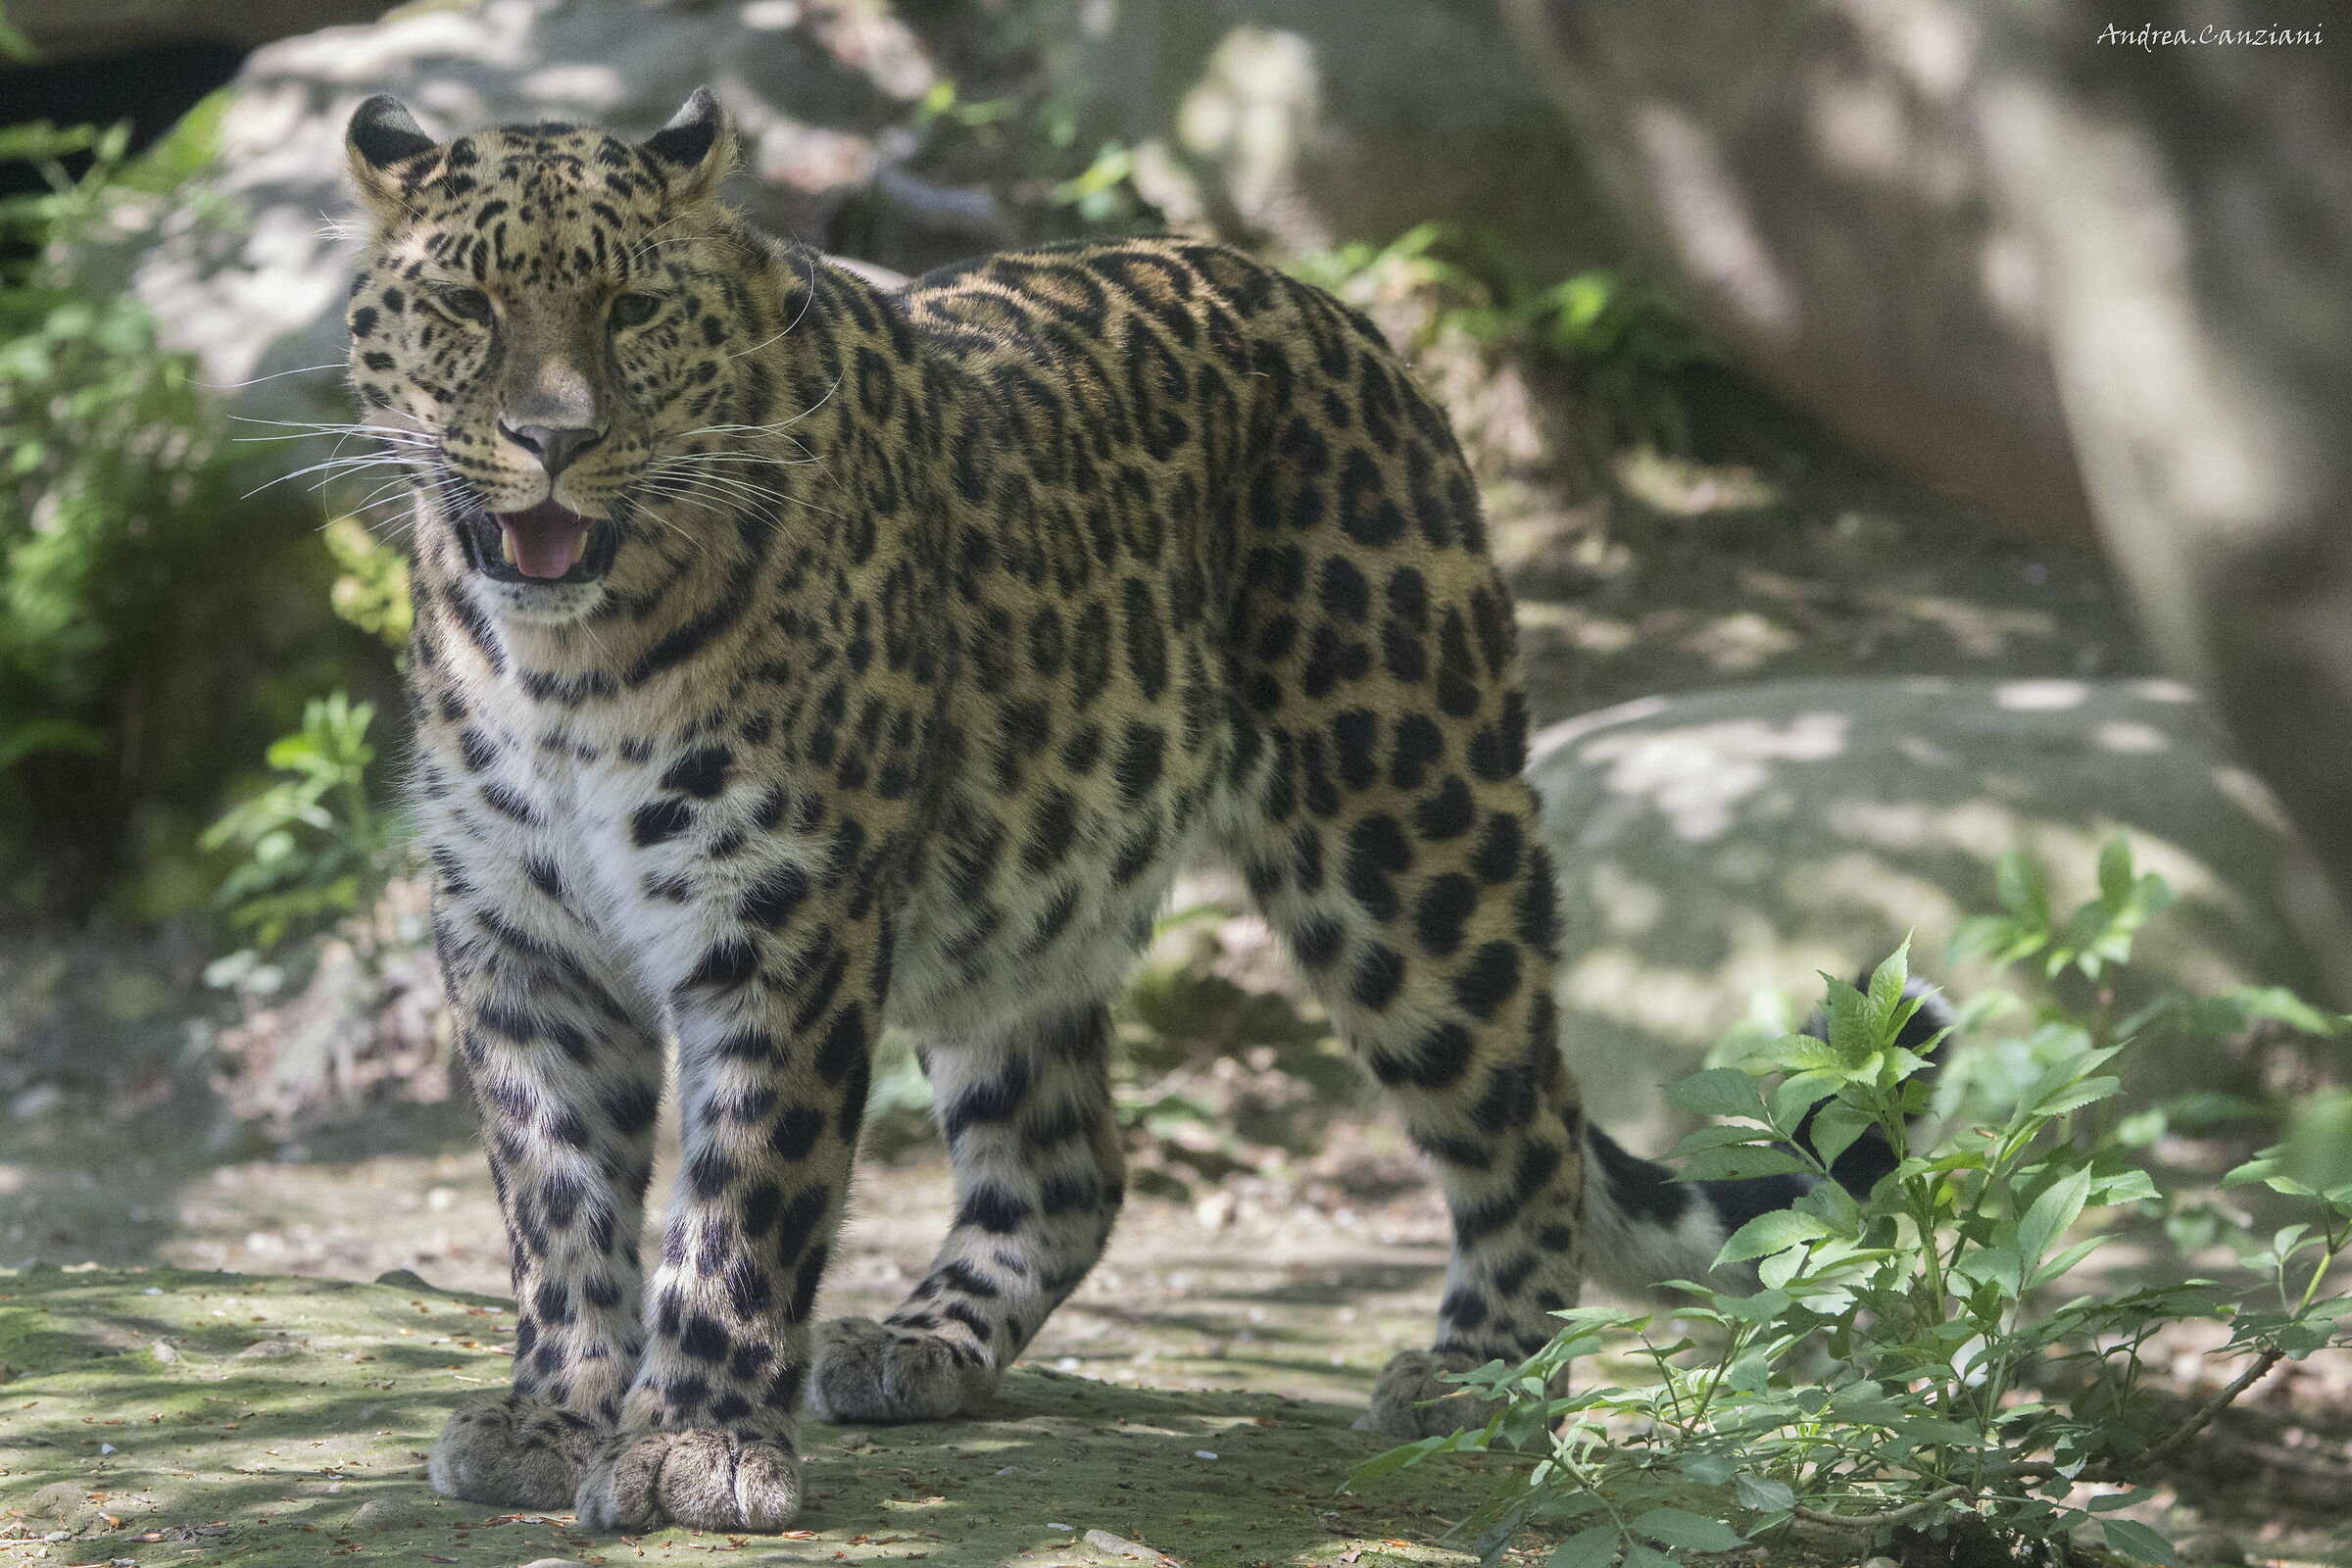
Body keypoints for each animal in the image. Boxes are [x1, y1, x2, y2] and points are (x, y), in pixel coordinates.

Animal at [340, 87, 1850, 1534]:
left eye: (633, 309)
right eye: (467, 307)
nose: (554, 439)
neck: (566, 662)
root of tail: (1325, 306)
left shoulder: (781, 909)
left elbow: (741, 1203)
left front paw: (693, 1442)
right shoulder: (516, 928)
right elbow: (557, 1197)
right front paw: (553, 1414)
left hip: (1401, 831)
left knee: (1526, 1110)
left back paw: (1484, 1374)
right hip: (1021, 886)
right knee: (1067, 1164)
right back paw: (923, 1343)